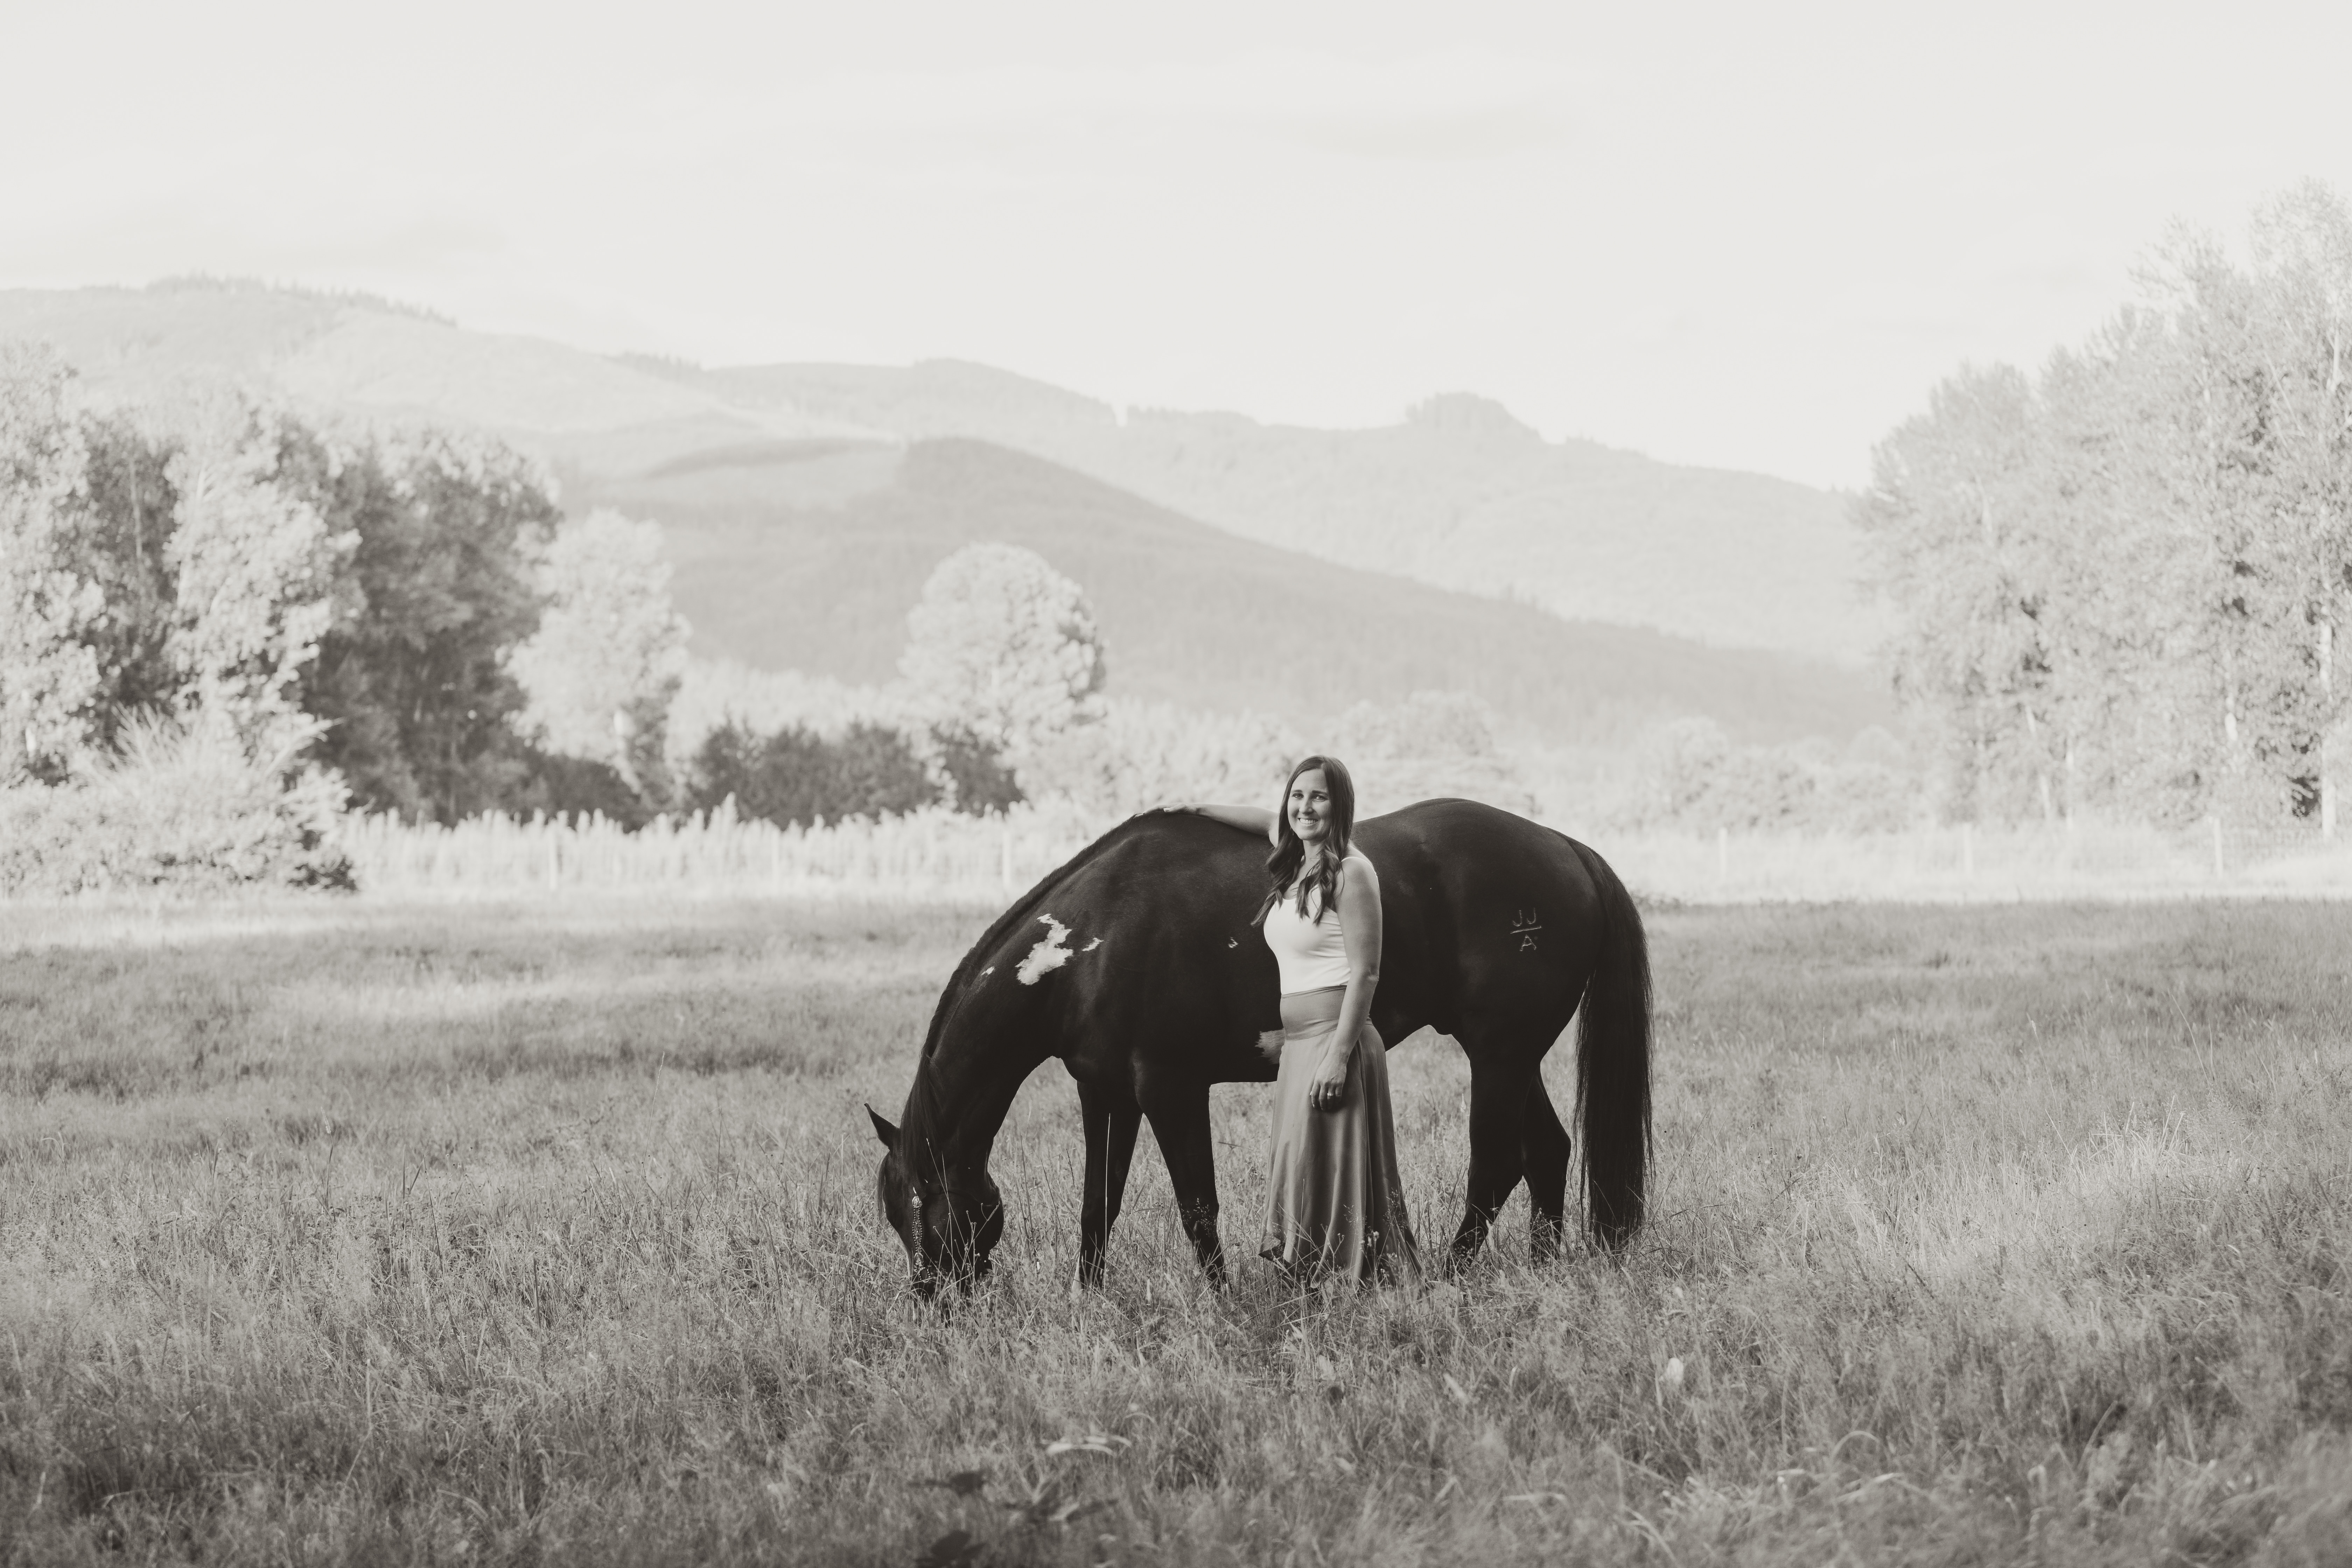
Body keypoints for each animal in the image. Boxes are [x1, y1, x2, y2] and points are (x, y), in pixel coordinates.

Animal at [870, 804, 1656, 1297]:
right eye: (893, 1213)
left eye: (933, 1207)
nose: (932, 1301)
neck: (1098, 937)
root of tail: (1565, 847)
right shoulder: (1106, 1094)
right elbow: (1099, 1204)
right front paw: (1087, 1298)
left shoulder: (1171, 1089)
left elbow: (1197, 1207)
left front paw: (1224, 1301)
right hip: (1513, 1057)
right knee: (1547, 1150)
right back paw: (1542, 1266)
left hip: (1498, 1056)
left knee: (1494, 1165)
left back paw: (1448, 1273)